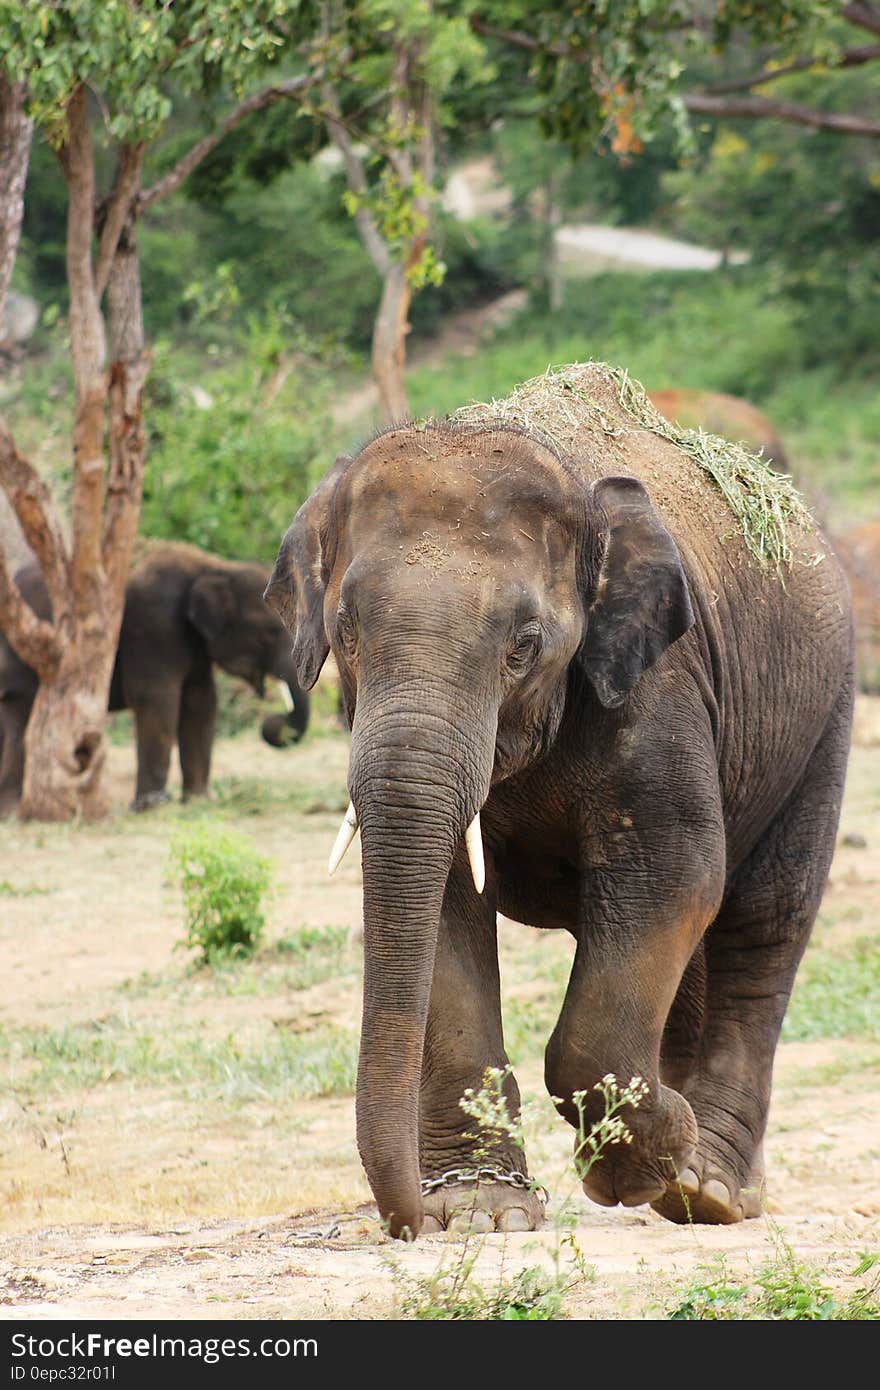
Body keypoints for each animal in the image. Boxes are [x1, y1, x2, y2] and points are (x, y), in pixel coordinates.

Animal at [0, 533, 308, 811]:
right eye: (270, 632)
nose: (274, 720)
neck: (211, 567)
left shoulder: (194, 645)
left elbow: (201, 703)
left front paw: (198, 800)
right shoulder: (154, 624)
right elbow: (158, 701)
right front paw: (150, 806)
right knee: (20, 713)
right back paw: (13, 808)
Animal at [265, 364, 850, 1245]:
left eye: (524, 646)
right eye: (348, 632)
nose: (414, 1221)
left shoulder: (659, 687)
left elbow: (675, 877)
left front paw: (645, 1158)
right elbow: (446, 904)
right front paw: (484, 1213)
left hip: (824, 714)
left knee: (764, 919)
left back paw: (708, 1188)